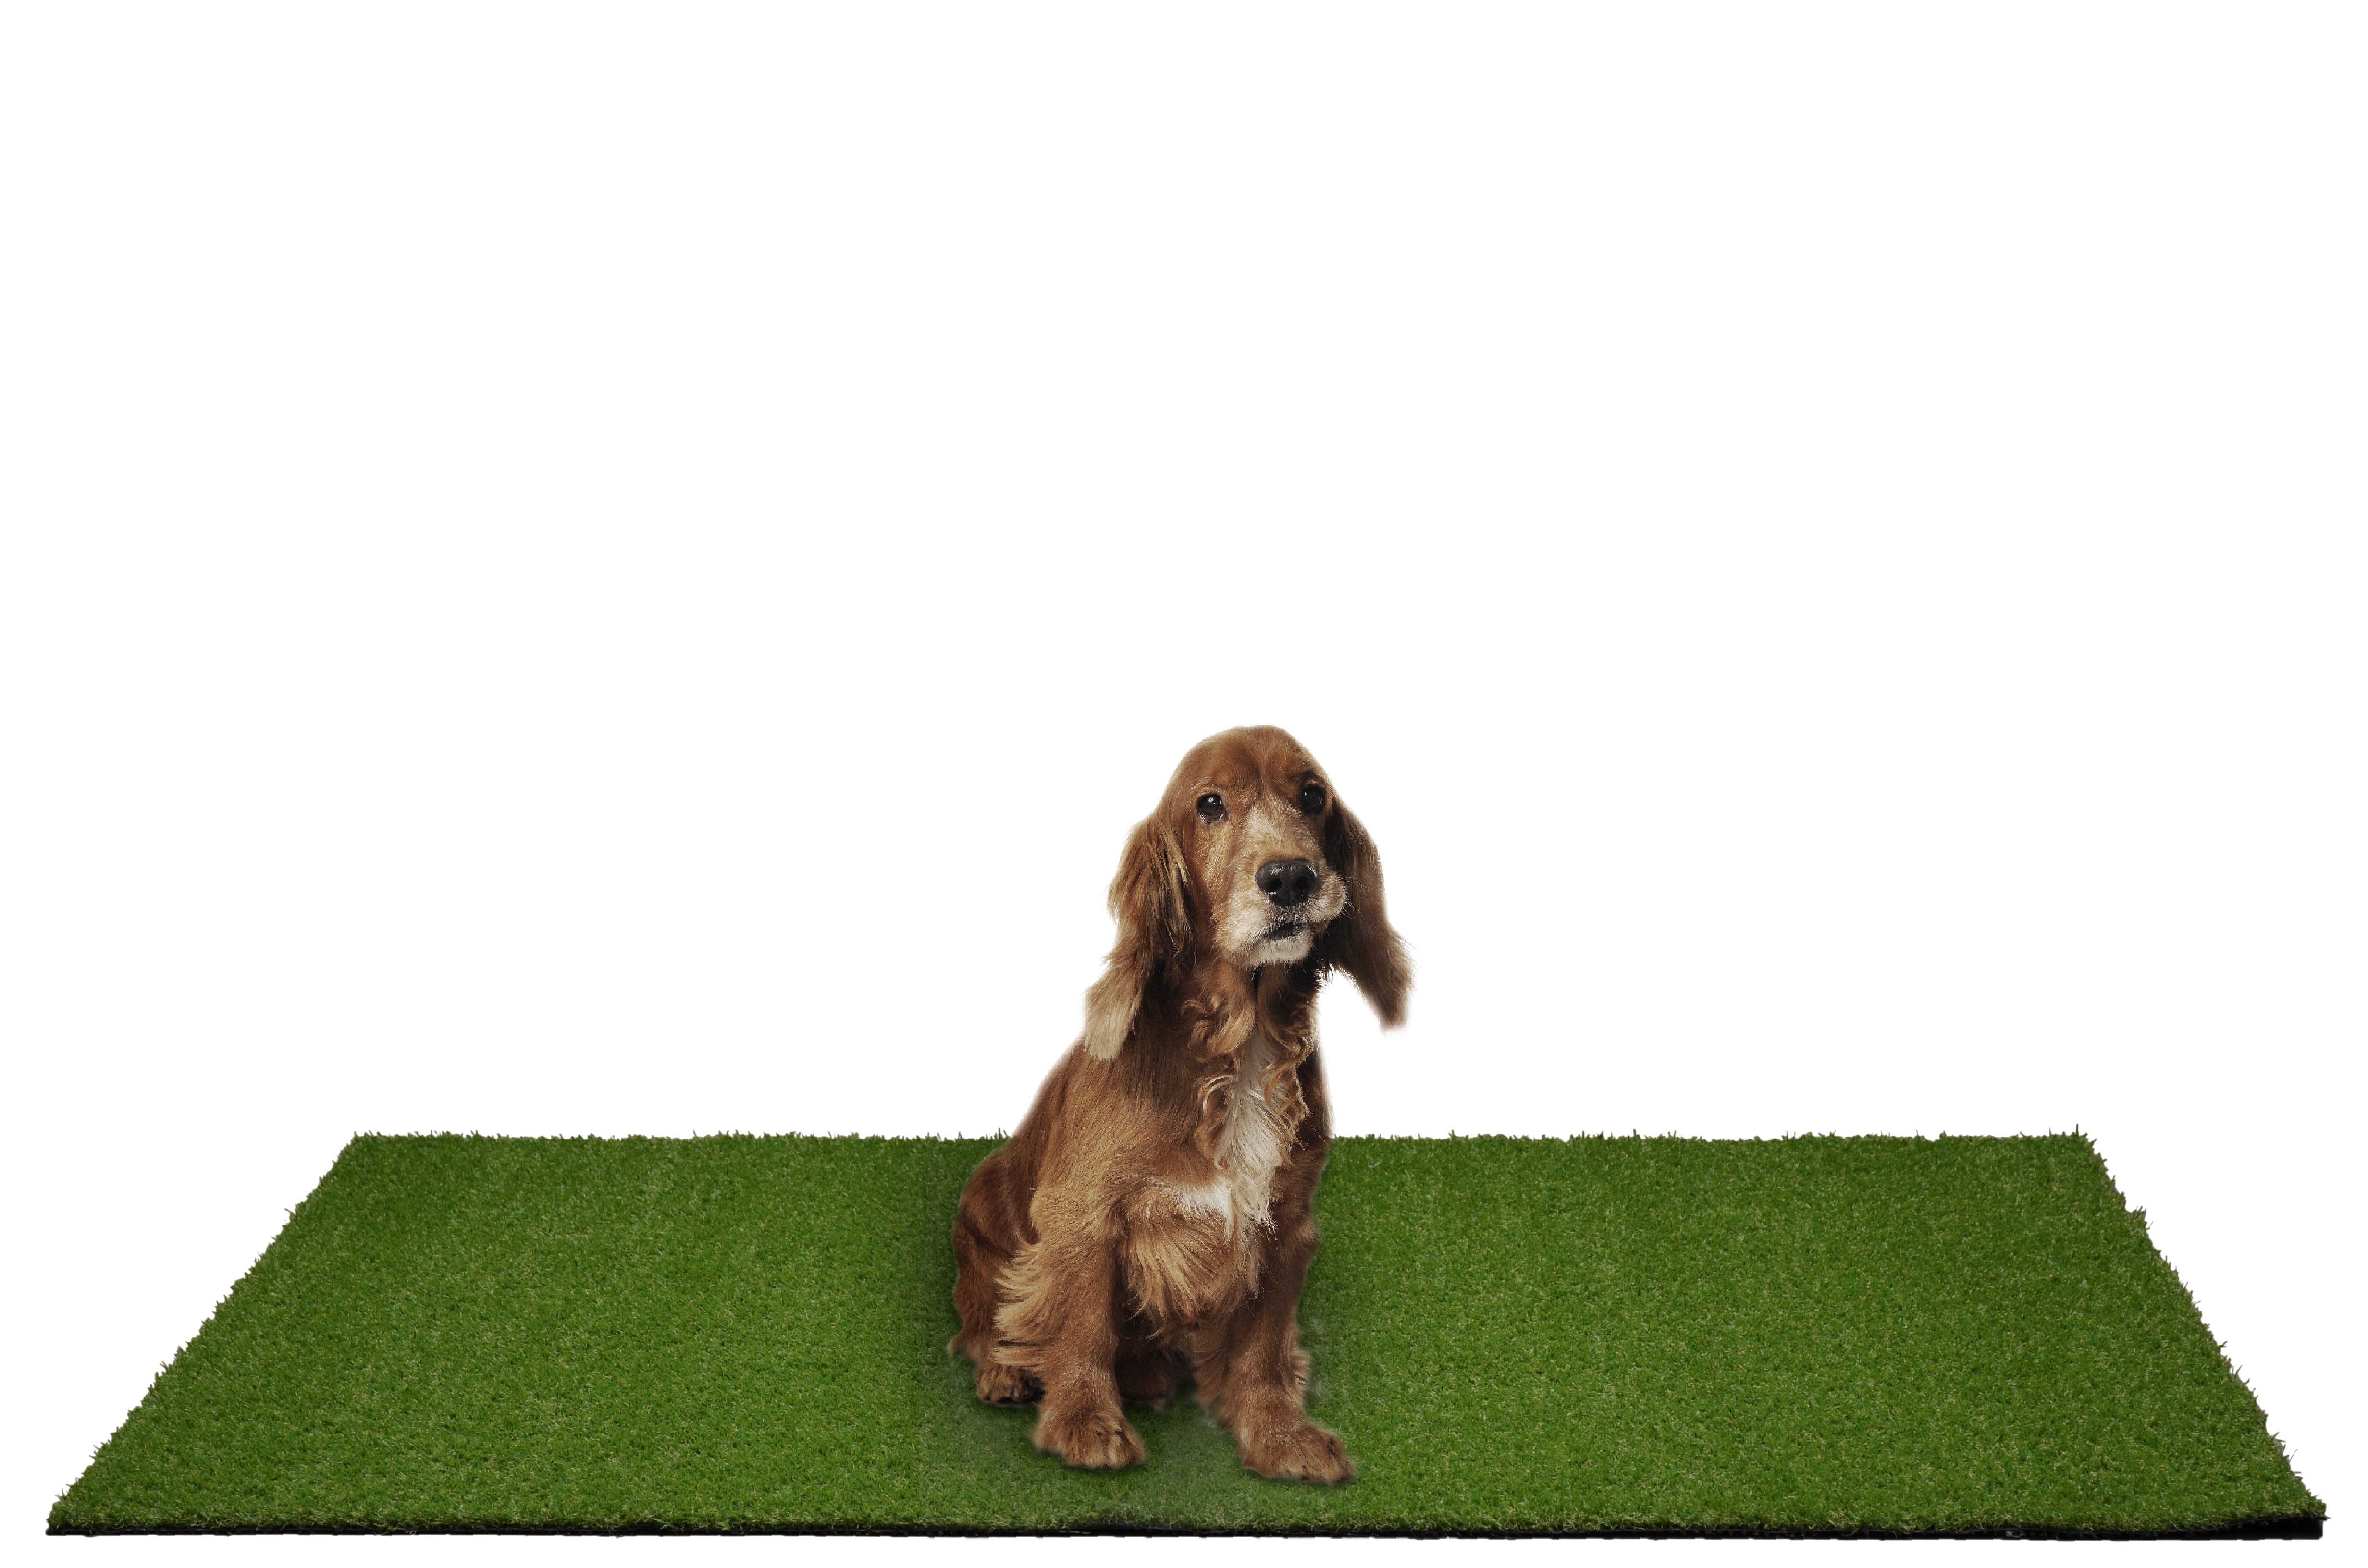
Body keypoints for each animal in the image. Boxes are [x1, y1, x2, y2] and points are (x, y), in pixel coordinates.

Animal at [950, 725, 1410, 1480]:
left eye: (1312, 796)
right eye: (1210, 805)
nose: (1290, 878)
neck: (1238, 1045)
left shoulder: (1284, 1224)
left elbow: (1261, 1350)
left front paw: (1280, 1434)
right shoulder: (1083, 1215)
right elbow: (1080, 1324)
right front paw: (1085, 1424)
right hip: (983, 1226)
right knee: (987, 1318)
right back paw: (1008, 1372)